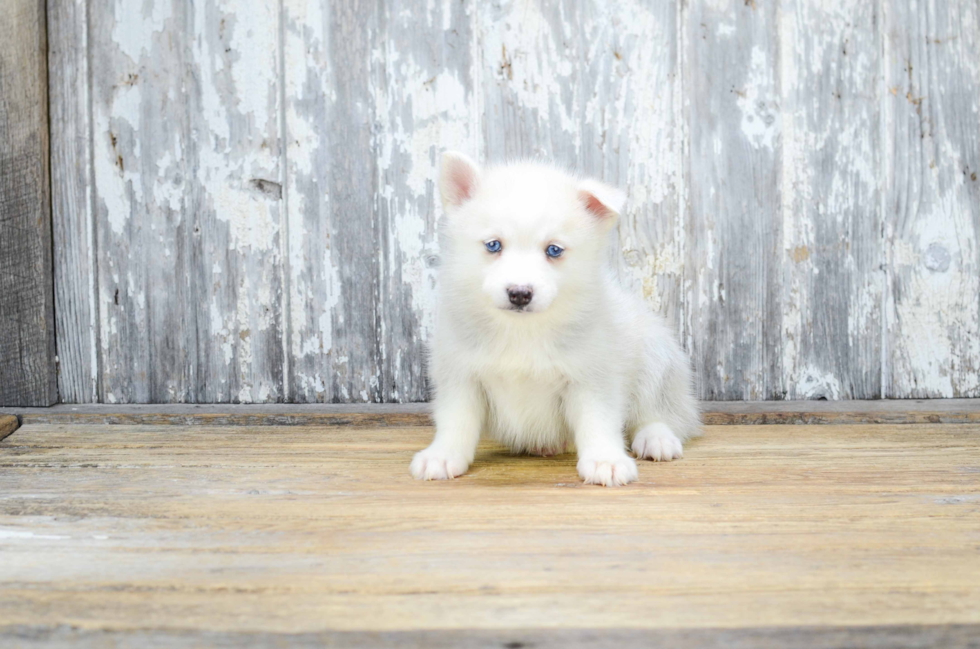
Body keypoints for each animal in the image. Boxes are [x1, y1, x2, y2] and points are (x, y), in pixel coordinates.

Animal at [410, 153, 700, 486]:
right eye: (493, 245)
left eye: (553, 250)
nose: (519, 293)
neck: (522, 330)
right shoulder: (460, 376)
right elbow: (456, 421)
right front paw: (442, 456)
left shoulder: (592, 377)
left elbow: (598, 422)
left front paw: (605, 460)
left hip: (657, 358)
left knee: (661, 413)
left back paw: (656, 438)